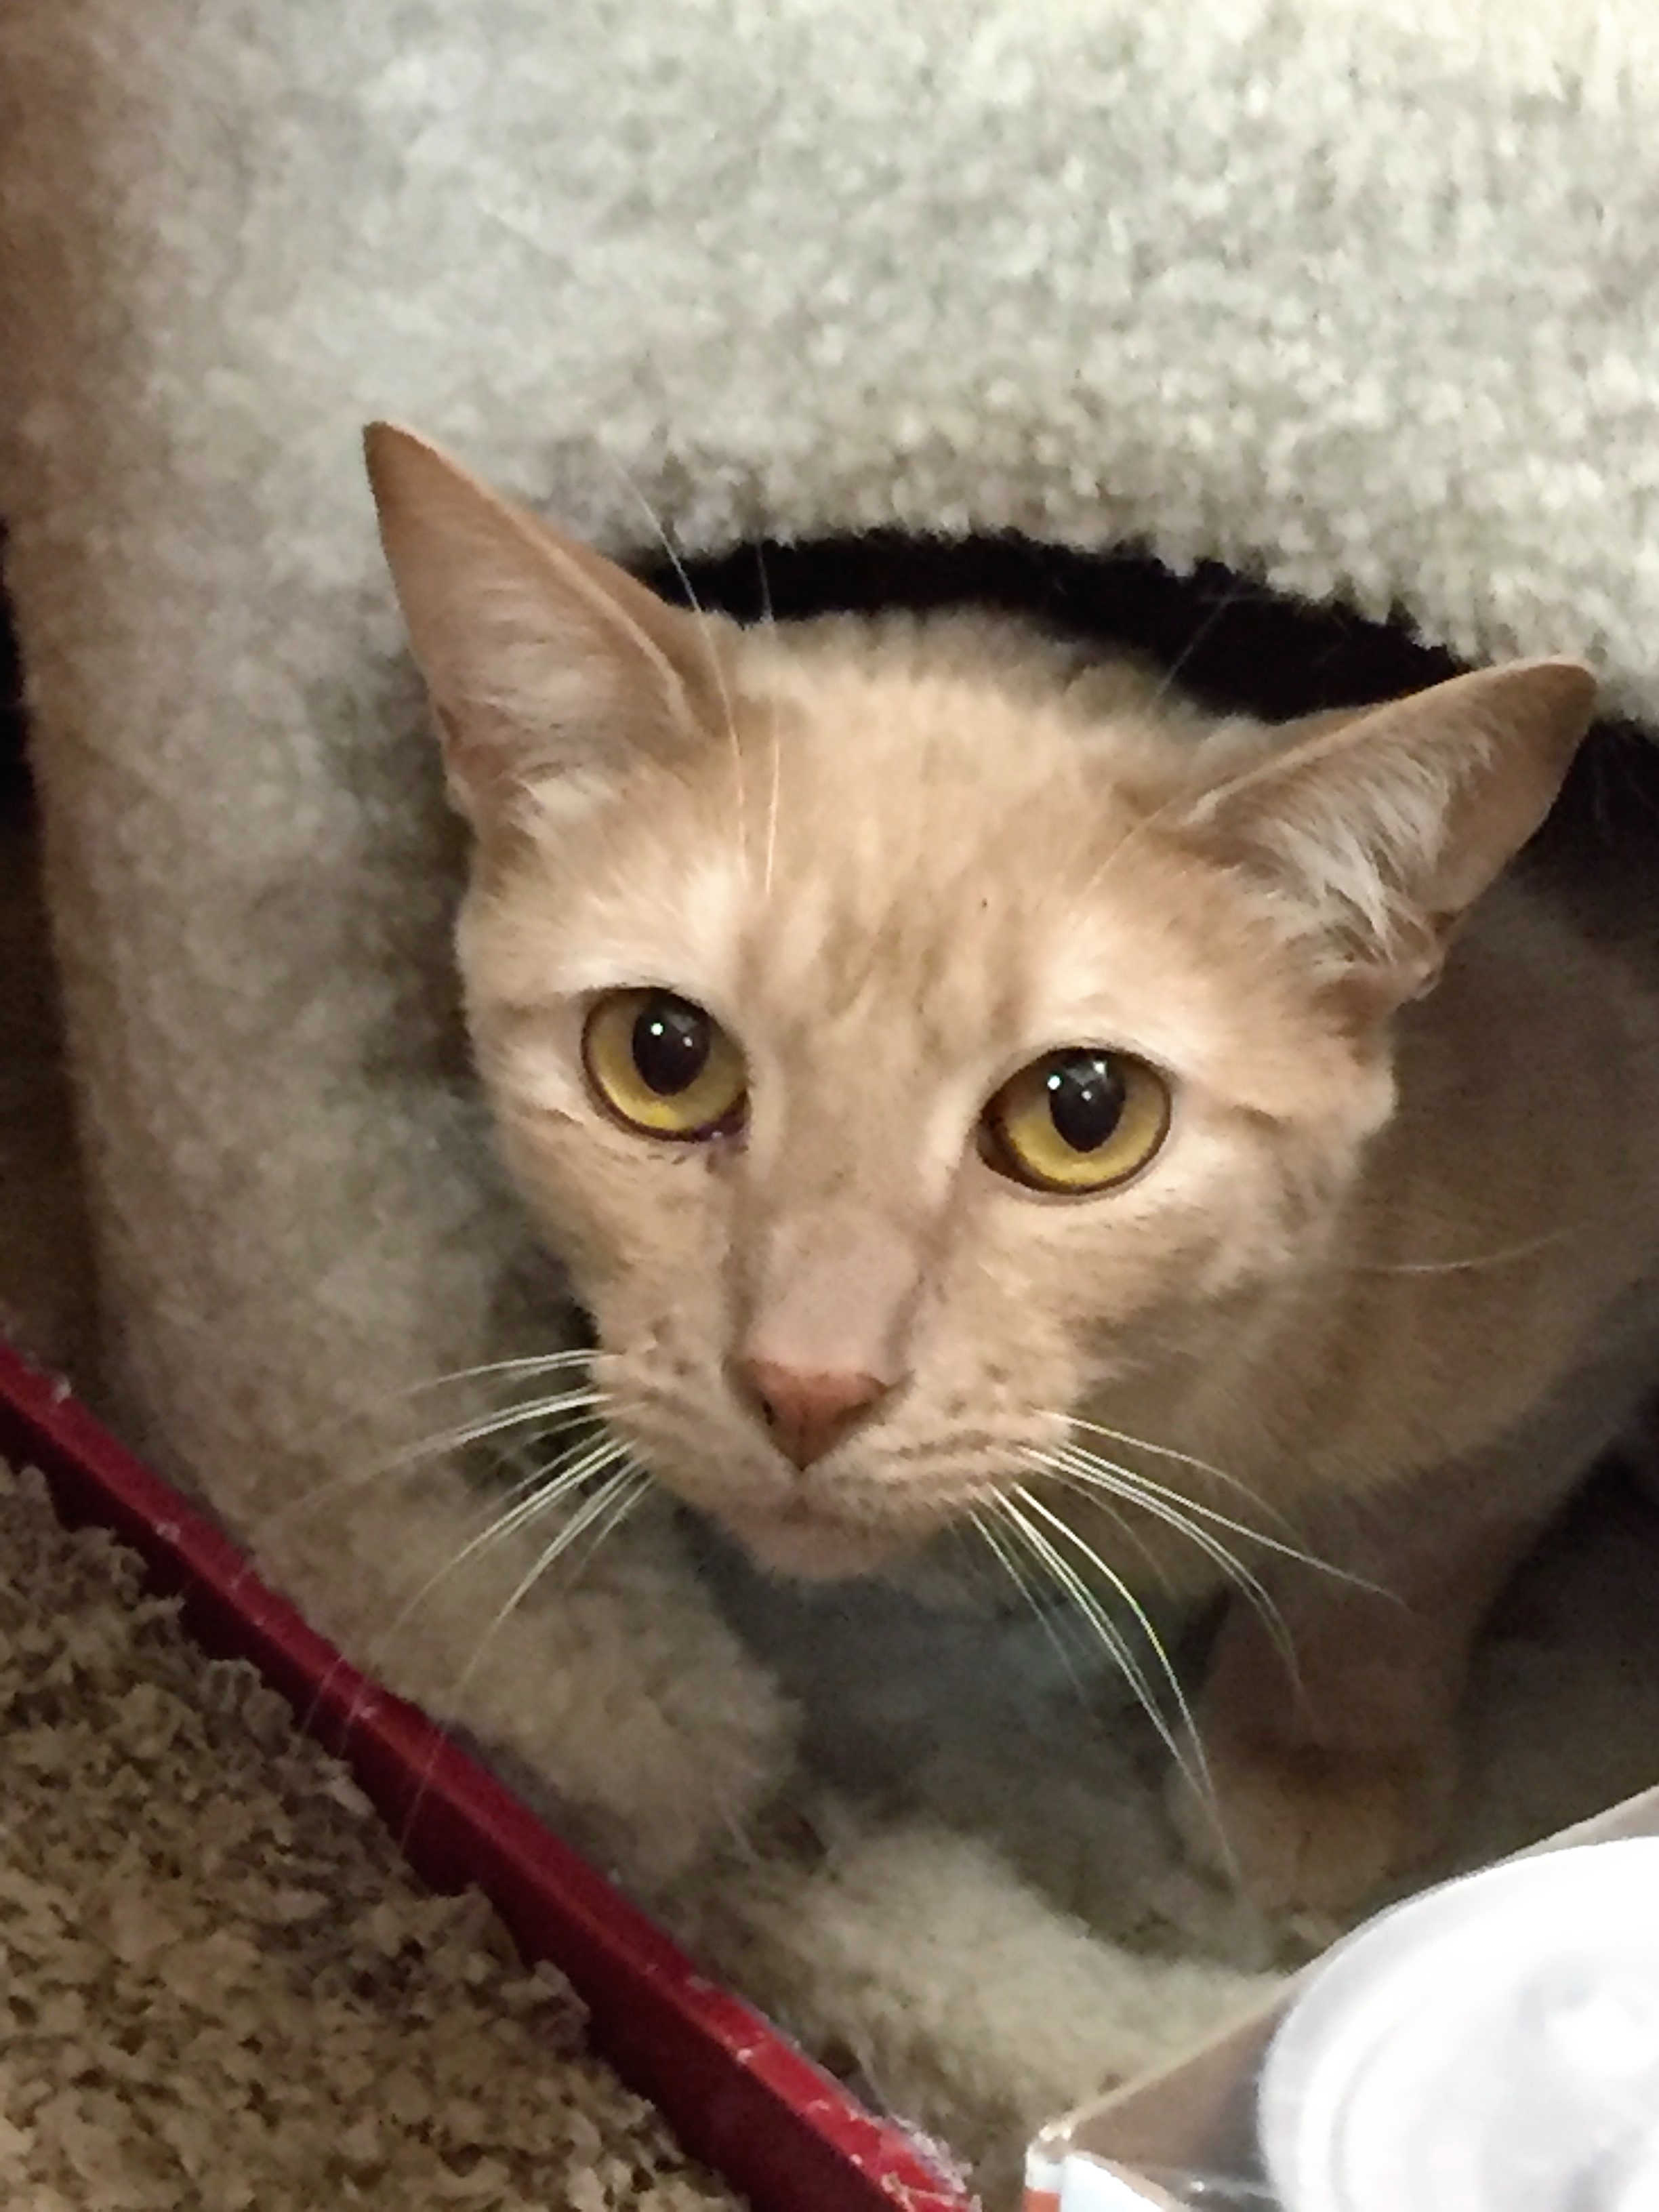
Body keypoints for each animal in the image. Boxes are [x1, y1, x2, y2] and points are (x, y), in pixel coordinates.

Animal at [367, 417, 1659, 1920]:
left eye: (1083, 1115)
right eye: (661, 1055)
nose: (807, 1387)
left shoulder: (1586, 1328)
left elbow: (1403, 1555)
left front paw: (1318, 1750)